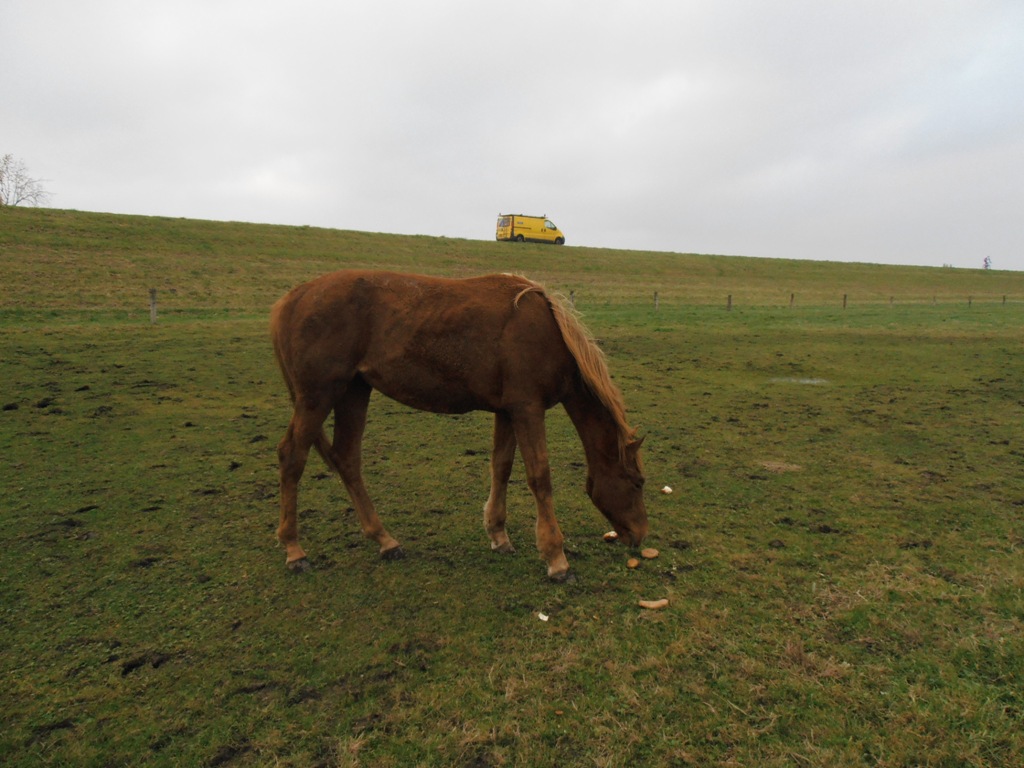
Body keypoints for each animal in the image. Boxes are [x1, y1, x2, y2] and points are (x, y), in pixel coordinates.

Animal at [268, 270, 643, 577]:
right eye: (638, 483)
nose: (640, 536)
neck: (547, 332)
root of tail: (292, 298)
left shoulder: (508, 411)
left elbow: (501, 467)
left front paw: (498, 535)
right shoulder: (527, 409)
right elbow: (540, 477)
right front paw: (556, 558)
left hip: (353, 392)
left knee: (346, 459)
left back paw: (386, 541)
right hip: (318, 397)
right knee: (292, 457)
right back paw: (294, 550)